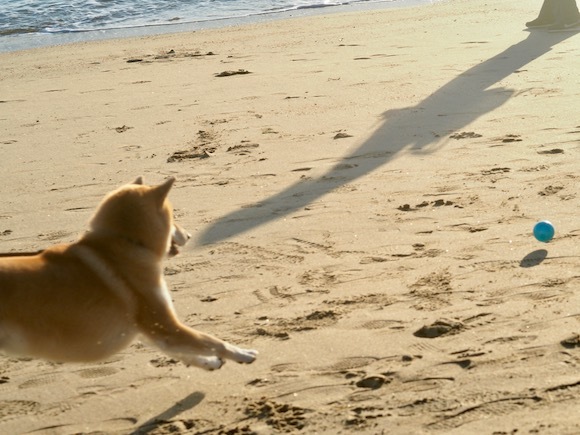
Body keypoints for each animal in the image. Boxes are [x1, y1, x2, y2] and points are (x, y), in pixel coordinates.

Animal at [0, 177, 256, 372]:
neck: (121, 244)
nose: (190, 235)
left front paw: (210, 363)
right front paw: (243, 353)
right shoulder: (165, 327)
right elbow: (213, 342)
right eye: (174, 217)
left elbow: (183, 352)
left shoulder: (153, 332)